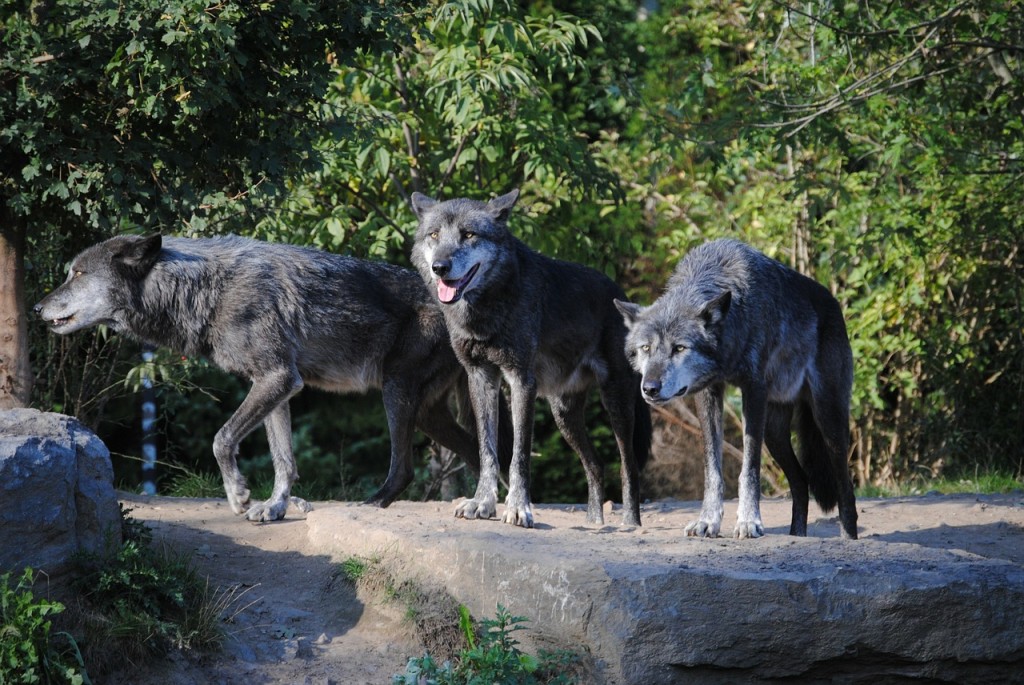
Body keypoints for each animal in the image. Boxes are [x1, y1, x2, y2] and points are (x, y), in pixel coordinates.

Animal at [37, 232, 485, 520]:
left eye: (78, 274)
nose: (38, 308)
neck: (206, 289)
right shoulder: (277, 386)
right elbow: (284, 460)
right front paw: (275, 507)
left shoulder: (277, 378)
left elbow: (221, 440)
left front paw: (238, 496)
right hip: (426, 413)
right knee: (476, 449)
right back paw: (483, 504)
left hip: (395, 393)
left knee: (405, 467)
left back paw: (375, 504)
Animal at [407, 189, 647, 528]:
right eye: (434, 235)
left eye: (469, 235)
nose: (440, 267)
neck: (488, 309)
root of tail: (621, 294)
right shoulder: (481, 378)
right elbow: (487, 451)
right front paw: (482, 503)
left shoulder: (521, 380)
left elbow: (519, 455)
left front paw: (519, 508)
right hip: (564, 415)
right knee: (596, 464)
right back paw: (594, 523)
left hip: (617, 404)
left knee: (628, 466)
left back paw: (630, 524)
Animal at [614, 240, 856, 540]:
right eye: (646, 348)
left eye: (679, 348)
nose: (649, 388)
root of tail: (834, 303)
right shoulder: (708, 392)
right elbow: (712, 469)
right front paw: (707, 521)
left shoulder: (753, 390)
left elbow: (749, 468)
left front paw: (749, 521)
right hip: (775, 433)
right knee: (801, 482)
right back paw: (796, 535)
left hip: (827, 420)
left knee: (846, 488)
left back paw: (848, 538)